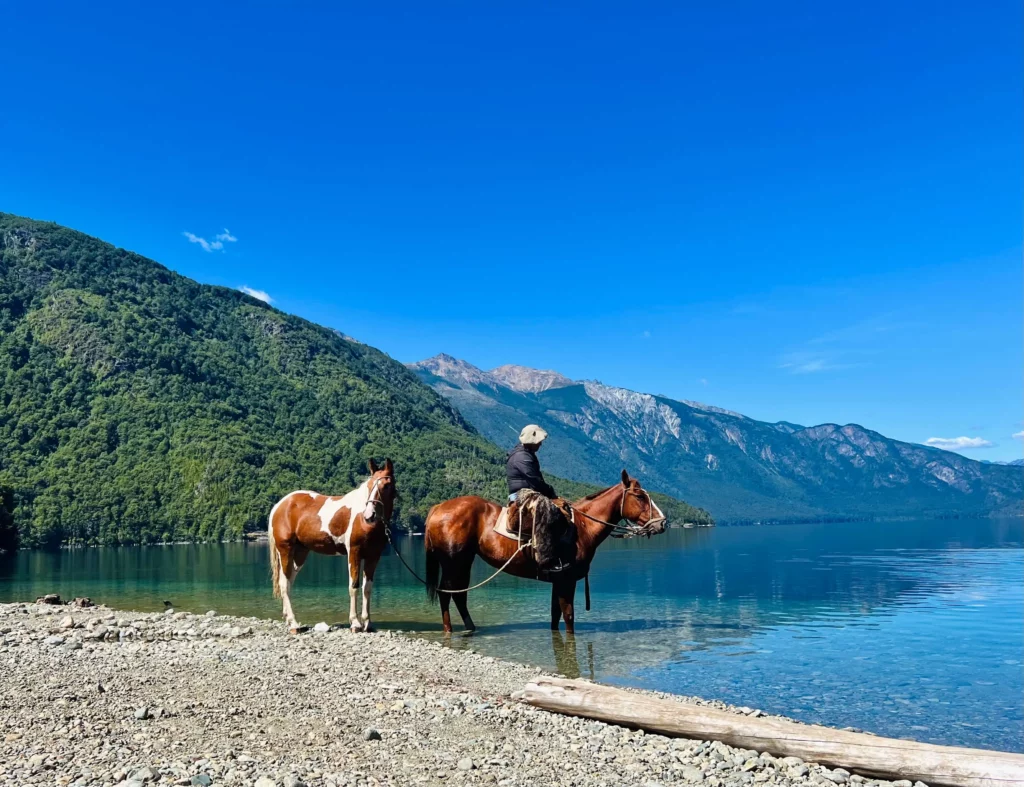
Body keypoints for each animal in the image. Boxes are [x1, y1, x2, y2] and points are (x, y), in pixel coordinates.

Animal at [268, 459, 395, 634]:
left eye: (387, 485)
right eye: (370, 485)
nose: (370, 515)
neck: (363, 521)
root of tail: (280, 505)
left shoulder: (373, 556)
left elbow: (367, 588)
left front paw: (367, 623)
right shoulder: (354, 552)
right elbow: (353, 586)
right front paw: (355, 623)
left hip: (300, 553)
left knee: (288, 582)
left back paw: (288, 619)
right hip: (285, 550)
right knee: (284, 583)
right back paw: (294, 624)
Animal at [423, 469, 667, 635]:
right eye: (639, 496)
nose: (663, 523)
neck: (583, 527)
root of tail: (438, 508)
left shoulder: (557, 581)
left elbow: (555, 616)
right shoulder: (567, 580)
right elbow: (568, 617)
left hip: (464, 563)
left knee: (459, 595)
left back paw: (470, 627)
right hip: (453, 563)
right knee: (446, 593)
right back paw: (449, 630)